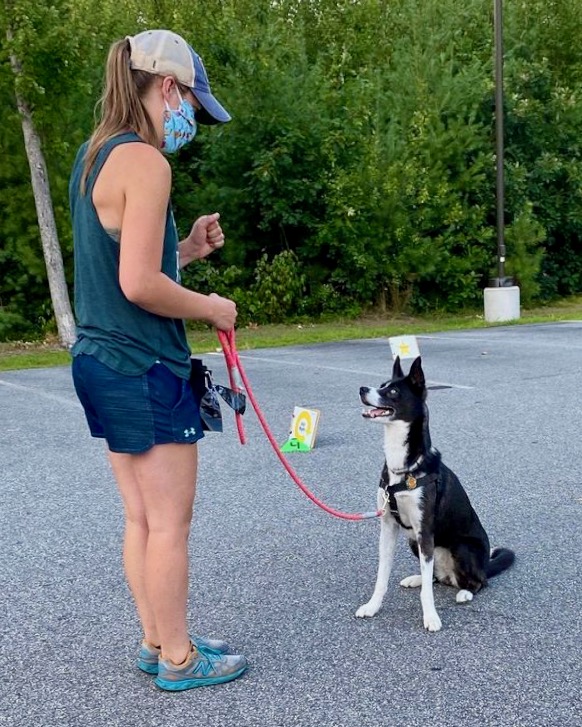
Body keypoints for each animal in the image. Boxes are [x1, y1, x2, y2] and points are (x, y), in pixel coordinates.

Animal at [356, 356, 516, 628]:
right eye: (381, 385)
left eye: (393, 391)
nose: (362, 389)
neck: (405, 466)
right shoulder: (389, 527)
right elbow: (382, 576)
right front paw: (372, 606)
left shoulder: (425, 530)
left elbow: (427, 594)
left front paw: (430, 616)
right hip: (414, 541)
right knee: (434, 576)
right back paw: (418, 578)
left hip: (461, 548)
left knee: (479, 581)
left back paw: (466, 592)